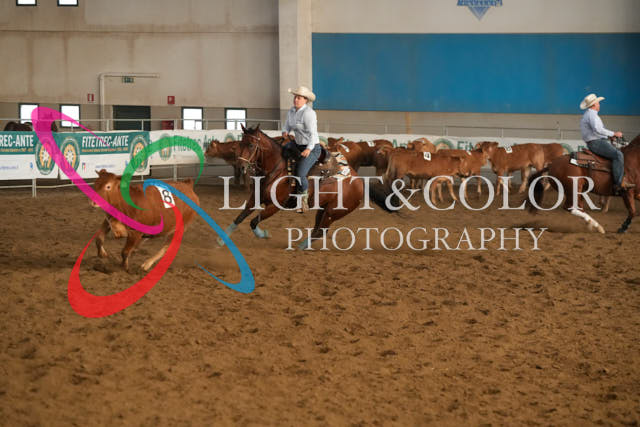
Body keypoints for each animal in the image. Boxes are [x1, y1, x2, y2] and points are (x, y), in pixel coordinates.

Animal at [218, 125, 393, 250]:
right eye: (239, 144)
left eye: (251, 145)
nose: (241, 166)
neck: (276, 169)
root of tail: (359, 180)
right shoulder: (254, 199)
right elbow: (240, 218)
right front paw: (220, 242)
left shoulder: (275, 206)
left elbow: (254, 221)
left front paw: (264, 234)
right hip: (323, 208)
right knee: (317, 229)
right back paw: (301, 246)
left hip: (333, 212)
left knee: (321, 231)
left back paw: (299, 248)